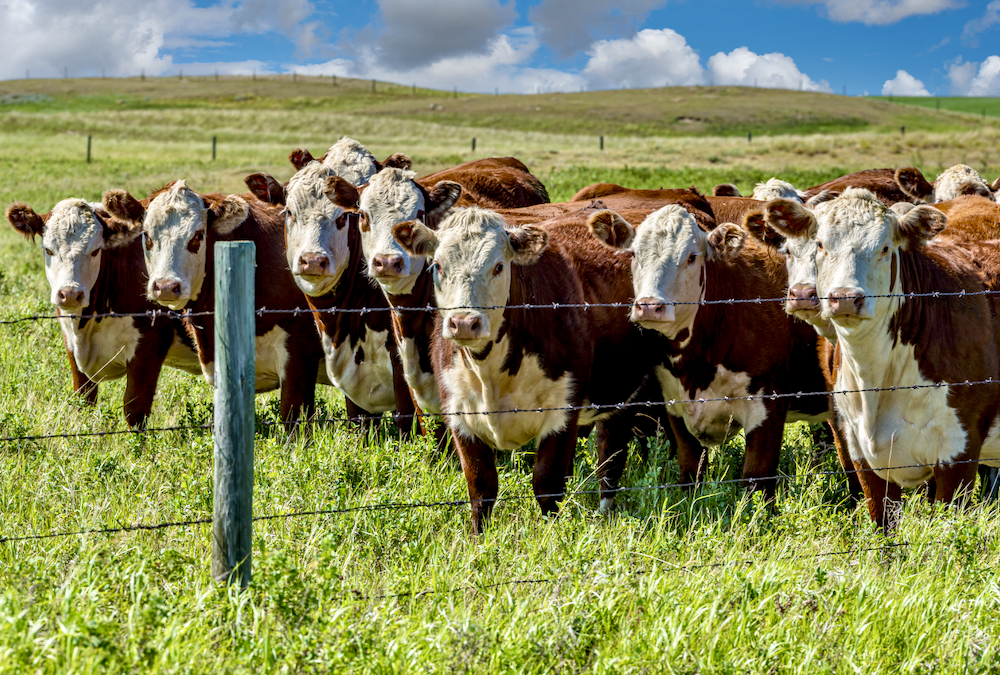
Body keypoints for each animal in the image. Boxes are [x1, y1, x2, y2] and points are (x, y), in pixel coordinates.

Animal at [4, 198, 200, 428]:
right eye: (48, 250)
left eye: (96, 250)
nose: (70, 294)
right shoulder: (71, 344)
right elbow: (83, 401)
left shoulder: (150, 344)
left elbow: (135, 410)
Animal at [394, 206, 668, 532]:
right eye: (437, 265)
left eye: (499, 266)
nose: (464, 323)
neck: (490, 375)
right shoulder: (458, 414)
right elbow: (481, 487)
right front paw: (476, 538)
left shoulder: (563, 411)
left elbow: (546, 484)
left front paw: (553, 534)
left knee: (611, 454)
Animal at [588, 203, 832, 500]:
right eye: (634, 253)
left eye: (692, 257)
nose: (649, 306)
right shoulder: (676, 408)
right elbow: (690, 475)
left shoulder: (768, 408)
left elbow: (757, 482)